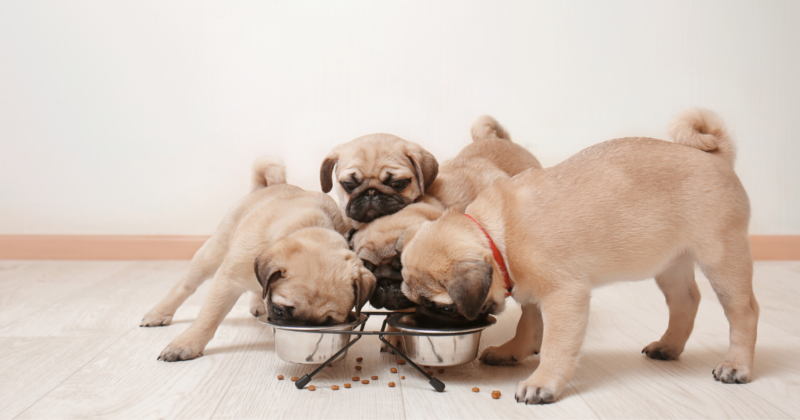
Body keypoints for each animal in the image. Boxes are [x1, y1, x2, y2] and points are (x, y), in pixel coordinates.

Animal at [142, 157, 376, 360]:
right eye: (279, 310)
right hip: (212, 254)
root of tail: (265, 187)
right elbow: (209, 316)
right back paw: (158, 313)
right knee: (185, 285)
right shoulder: (226, 281)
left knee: (258, 286)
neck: (308, 227)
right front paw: (187, 344)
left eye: (330, 321)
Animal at [404, 110, 760, 406]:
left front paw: (542, 383)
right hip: (671, 264)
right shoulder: (533, 292)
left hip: (721, 257)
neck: (495, 235)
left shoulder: (564, 296)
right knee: (686, 300)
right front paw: (513, 351)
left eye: (443, 307)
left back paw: (736, 366)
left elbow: (555, 345)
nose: (423, 316)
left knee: (744, 311)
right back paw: (668, 346)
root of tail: (717, 156)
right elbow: (528, 325)